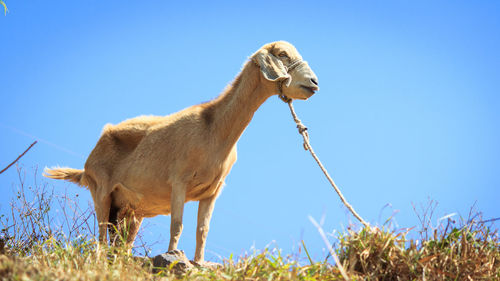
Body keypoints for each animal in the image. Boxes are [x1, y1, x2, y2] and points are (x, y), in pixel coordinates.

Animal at [45, 40, 318, 262]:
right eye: (282, 54)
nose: (314, 82)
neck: (214, 129)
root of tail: (86, 165)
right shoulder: (179, 181)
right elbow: (177, 224)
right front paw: (174, 254)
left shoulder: (213, 191)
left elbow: (202, 230)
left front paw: (198, 261)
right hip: (101, 192)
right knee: (101, 236)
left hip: (130, 210)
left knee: (122, 243)